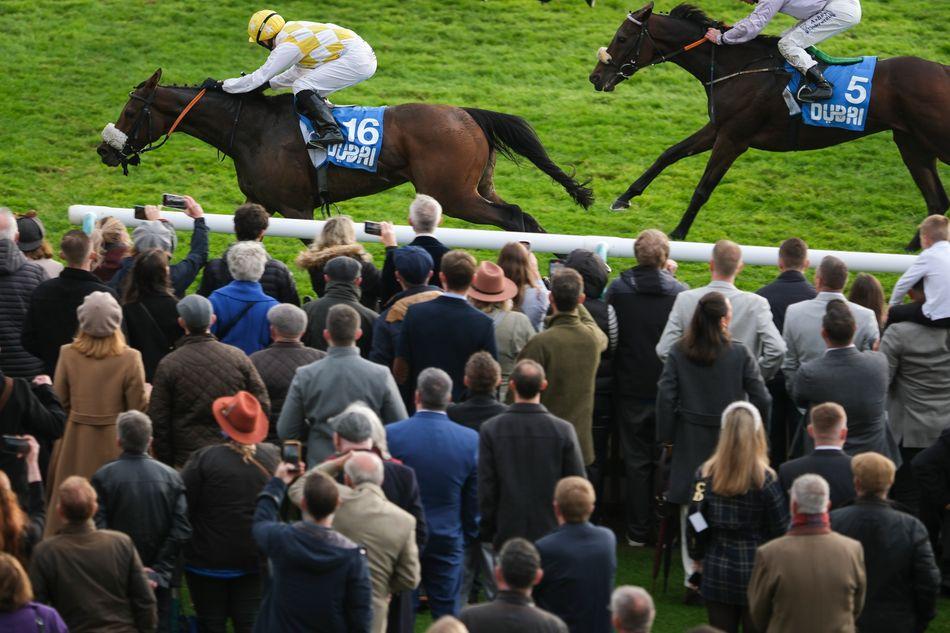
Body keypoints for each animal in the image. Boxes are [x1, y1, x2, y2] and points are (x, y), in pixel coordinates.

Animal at [95, 69, 588, 232]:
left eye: (130, 109)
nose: (104, 151)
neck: (253, 130)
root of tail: (468, 114)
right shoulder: (262, 203)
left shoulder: (296, 208)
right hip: (477, 187)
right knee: (523, 217)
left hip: (453, 195)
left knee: (513, 219)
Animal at [592, 3, 948, 249]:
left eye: (622, 37)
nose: (595, 77)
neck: (736, 68)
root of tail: (943, 70)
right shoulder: (718, 128)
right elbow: (669, 154)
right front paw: (623, 198)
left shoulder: (734, 138)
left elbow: (703, 187)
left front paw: (678, 233)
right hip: (912, 145)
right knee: (937, 202)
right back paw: (914, 252)